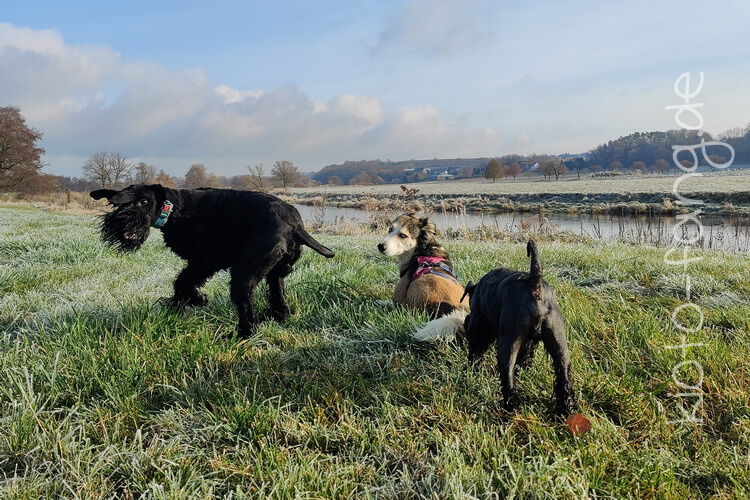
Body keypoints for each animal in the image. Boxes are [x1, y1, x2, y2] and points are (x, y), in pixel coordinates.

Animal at [90, 184, 335, 337]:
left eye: (143, 201)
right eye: (117, 205)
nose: (121, 222)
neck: (174, 208)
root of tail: (296, 226)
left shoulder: (206, 260)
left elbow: (183, 281)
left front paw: (196, 299)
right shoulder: (202, 263)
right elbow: (181, 283)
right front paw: (178, 304)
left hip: (244, 276)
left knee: (246, 307)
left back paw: (240, 334)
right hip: (275, 274)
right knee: (278, 297)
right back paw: (273, 316)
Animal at [462, 240, 577, 416]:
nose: (465, 322)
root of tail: (534, 285)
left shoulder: (479, 326)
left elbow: (476, 351)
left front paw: (472, 368)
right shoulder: (529, 341)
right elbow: (526, 355)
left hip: (508, 343)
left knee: (508, 378)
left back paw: (509, 410)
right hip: (559, 344)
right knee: (564, 376)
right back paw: (565, 409)